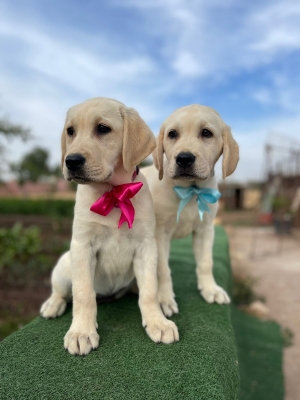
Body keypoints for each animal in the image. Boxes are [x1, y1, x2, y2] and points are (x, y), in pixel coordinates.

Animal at [41, 98, 179, 354]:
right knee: (62, 291)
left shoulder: (146, 247)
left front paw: (157, 322)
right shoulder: (83, 246)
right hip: (65, 266)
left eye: (103, 129)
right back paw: (53, 305)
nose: (71, 161)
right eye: (70, 131)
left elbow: (150, 291)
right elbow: (83, 293)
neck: (113, 193)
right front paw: (81, 332)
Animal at [143, 104, 239, 318]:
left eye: (206, 133)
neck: (190, 189)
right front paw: (164, 298)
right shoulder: (160, 234)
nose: (184, 158)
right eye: (172, 134)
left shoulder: (205, 230)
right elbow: (163, 269)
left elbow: (206, 262)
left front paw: (210, 289)